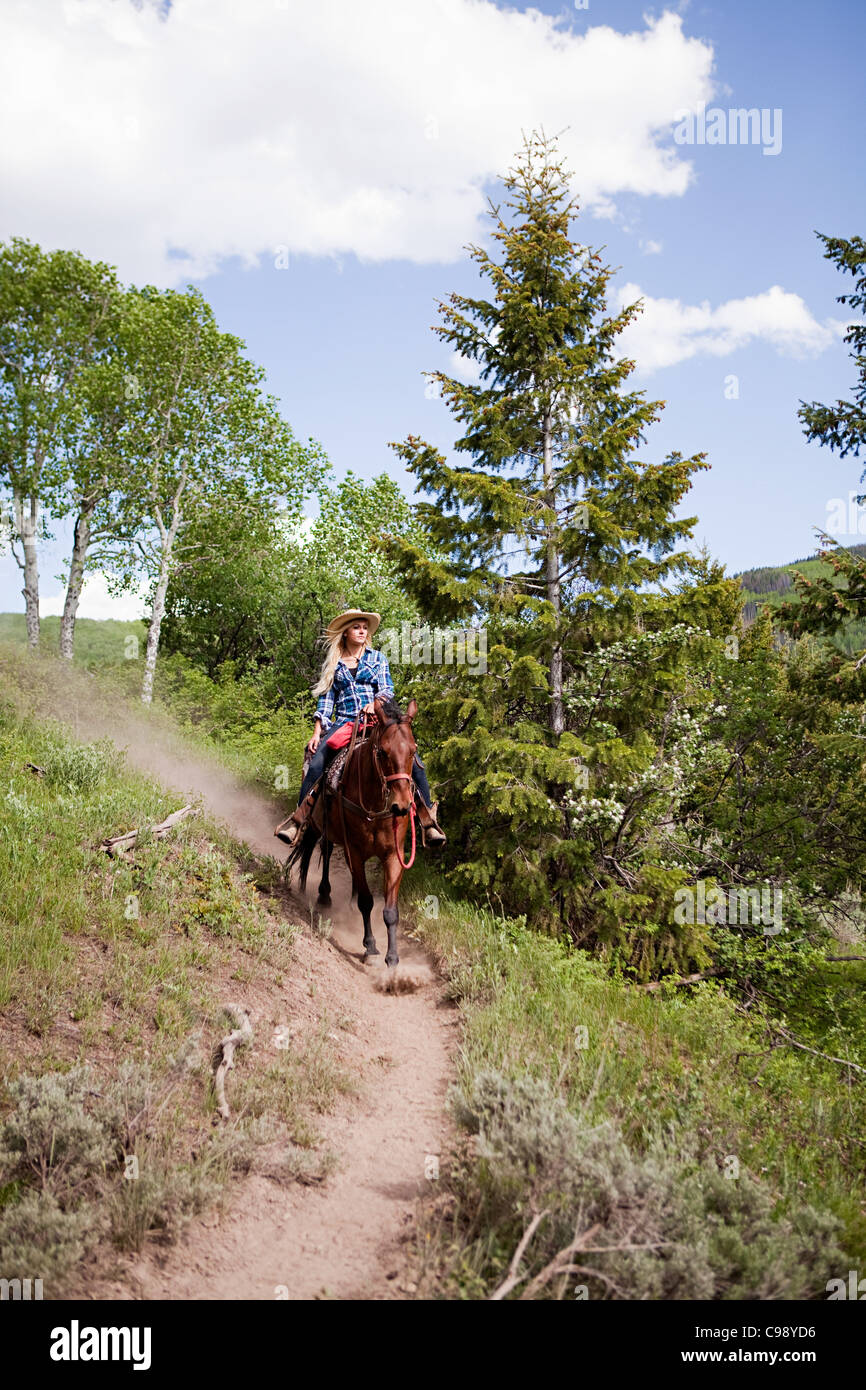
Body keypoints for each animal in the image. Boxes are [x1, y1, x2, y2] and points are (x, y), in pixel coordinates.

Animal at [284, 692, 419, 967]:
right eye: (383, 752)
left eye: (413, 751)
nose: (402, 805)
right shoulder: (354, 852)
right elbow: (366, 902)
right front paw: (370, 946)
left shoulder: (394, 855)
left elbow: (390, 911)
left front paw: (393, 958)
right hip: (320, 825)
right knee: (323, 850)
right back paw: (324, 895)